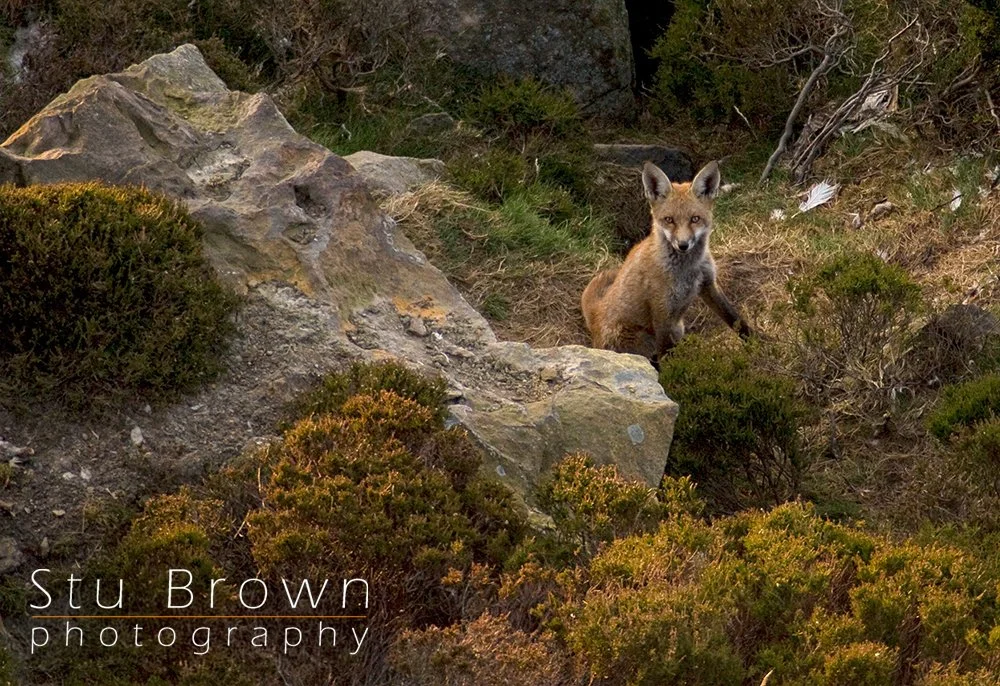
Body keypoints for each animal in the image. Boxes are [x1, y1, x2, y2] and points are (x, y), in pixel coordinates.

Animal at [581, 159, 752, 363]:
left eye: (695, 219)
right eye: (669, 220)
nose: (683, 245)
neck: (688, 270)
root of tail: (595, 317)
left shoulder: (708, 284)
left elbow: (735, 319)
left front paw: (758, 344)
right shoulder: (662, 311)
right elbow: (667, 357)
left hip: (677, 328)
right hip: (646, 338)